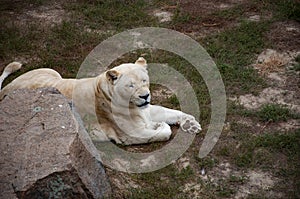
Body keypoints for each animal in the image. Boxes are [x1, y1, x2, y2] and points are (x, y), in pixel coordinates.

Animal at [1, 58, 202, 145]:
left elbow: (168, 112)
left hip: (52, 72)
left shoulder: (146, 109)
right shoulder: (130, 135)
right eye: (130, 85)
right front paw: (158, 126)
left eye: (144, 80)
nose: (145, 96)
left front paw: (191, 124)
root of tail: (7, 89)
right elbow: (164, 131)